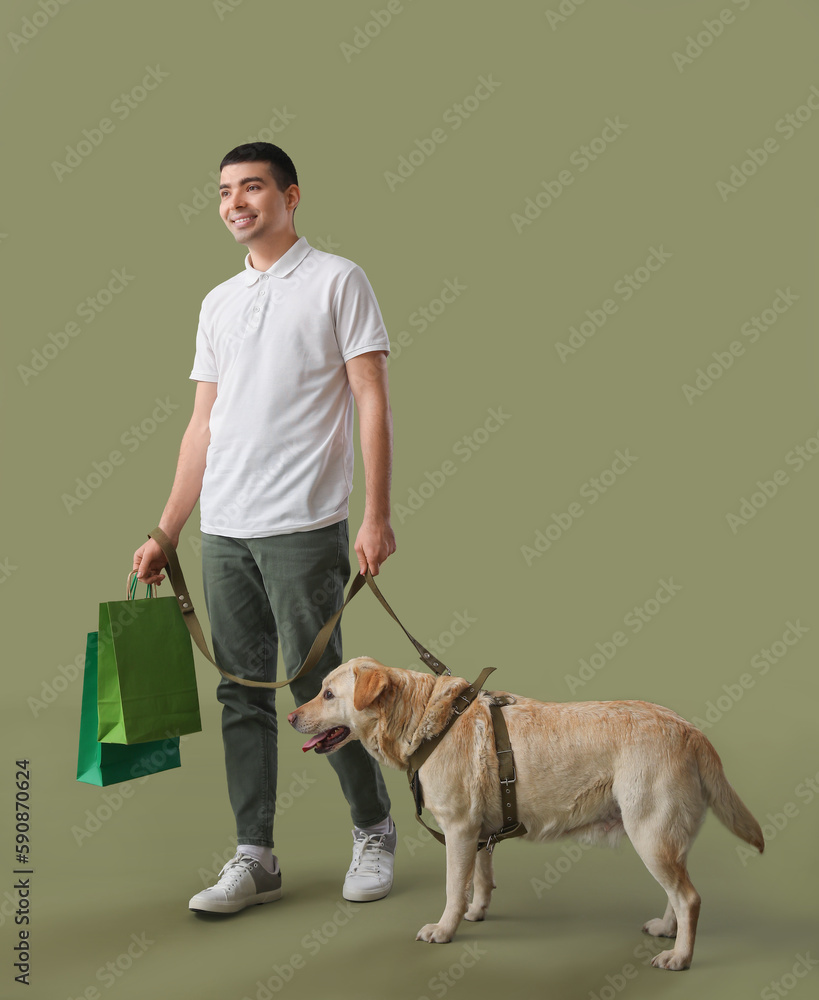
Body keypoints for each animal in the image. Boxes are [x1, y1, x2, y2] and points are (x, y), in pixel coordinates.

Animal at [286, 656, 764, 968]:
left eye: (328, 693)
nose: (290, 717)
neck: (427, 720)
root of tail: (691, 731)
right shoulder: (479, 832)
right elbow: (480, 879)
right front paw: (476, 912)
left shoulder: (458, 829)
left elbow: (452, 887)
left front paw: (444, 930)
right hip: (661, 839)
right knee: (676, 894)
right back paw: (668, 931)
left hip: (649, 833)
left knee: (689, 898)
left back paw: (680, 955)